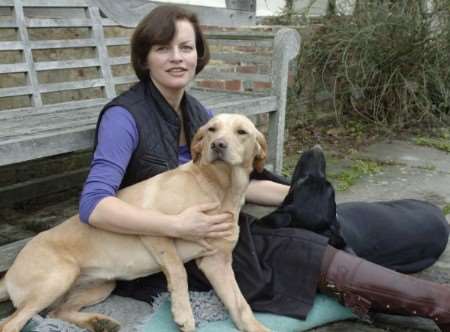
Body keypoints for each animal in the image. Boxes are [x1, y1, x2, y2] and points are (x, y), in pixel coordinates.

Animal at [0, 114, 268, 332]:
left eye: (241, 132)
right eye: (212, 129)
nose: (217, 145)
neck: (220, 187)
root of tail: (10, 271)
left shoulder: (217, 263)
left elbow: (241, 305)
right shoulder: (157, 229)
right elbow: (178, 271)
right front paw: (183, 313)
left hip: (102, 285)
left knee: (58, 312)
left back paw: (99, 322)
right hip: (58, 277)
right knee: (11, 323)